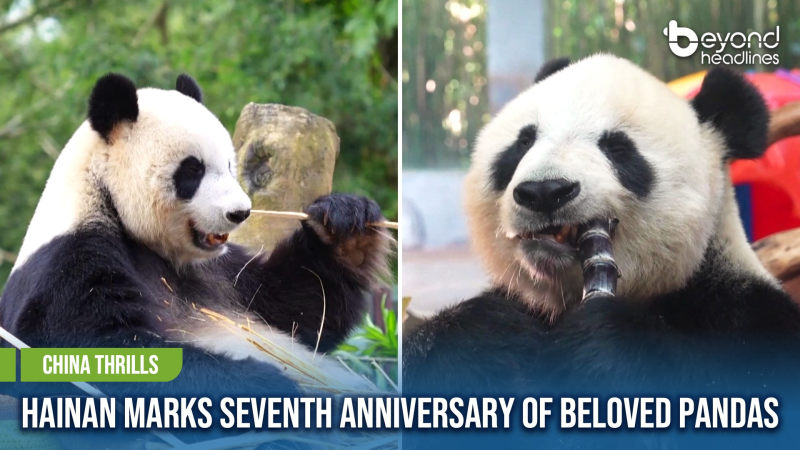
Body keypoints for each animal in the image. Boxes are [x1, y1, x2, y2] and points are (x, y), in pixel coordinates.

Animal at [0, 73, 390, 395]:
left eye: (230, 165)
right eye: (192, 170)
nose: (239, 213)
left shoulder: (221, 273)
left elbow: (299, 310)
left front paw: (345, 227)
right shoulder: (67, 263)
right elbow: (90, 348)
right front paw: (263, 381)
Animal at [403, 55, 800, 393]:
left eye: (618, 149)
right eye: (523, 142)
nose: (545, 191)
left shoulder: (745, 317)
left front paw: (603, 342)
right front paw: (488, 340)